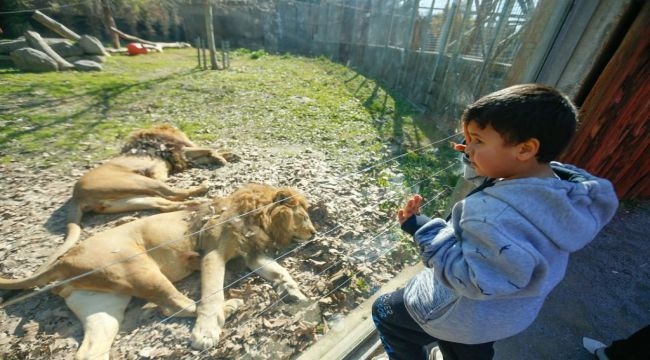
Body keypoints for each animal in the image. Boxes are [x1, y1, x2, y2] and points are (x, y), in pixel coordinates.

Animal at [0, 184, 314, 358]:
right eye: (304, 216)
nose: (313, 232)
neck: (256, 214)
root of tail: (64, 261)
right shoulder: (213, 252)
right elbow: (212, 293)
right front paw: (205, 333)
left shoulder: (251, 254)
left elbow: (279, 271)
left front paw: (295, 291)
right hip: (138, 268)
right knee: (176, 304)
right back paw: (231, 307)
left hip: (103, 306)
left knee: (91, 352)